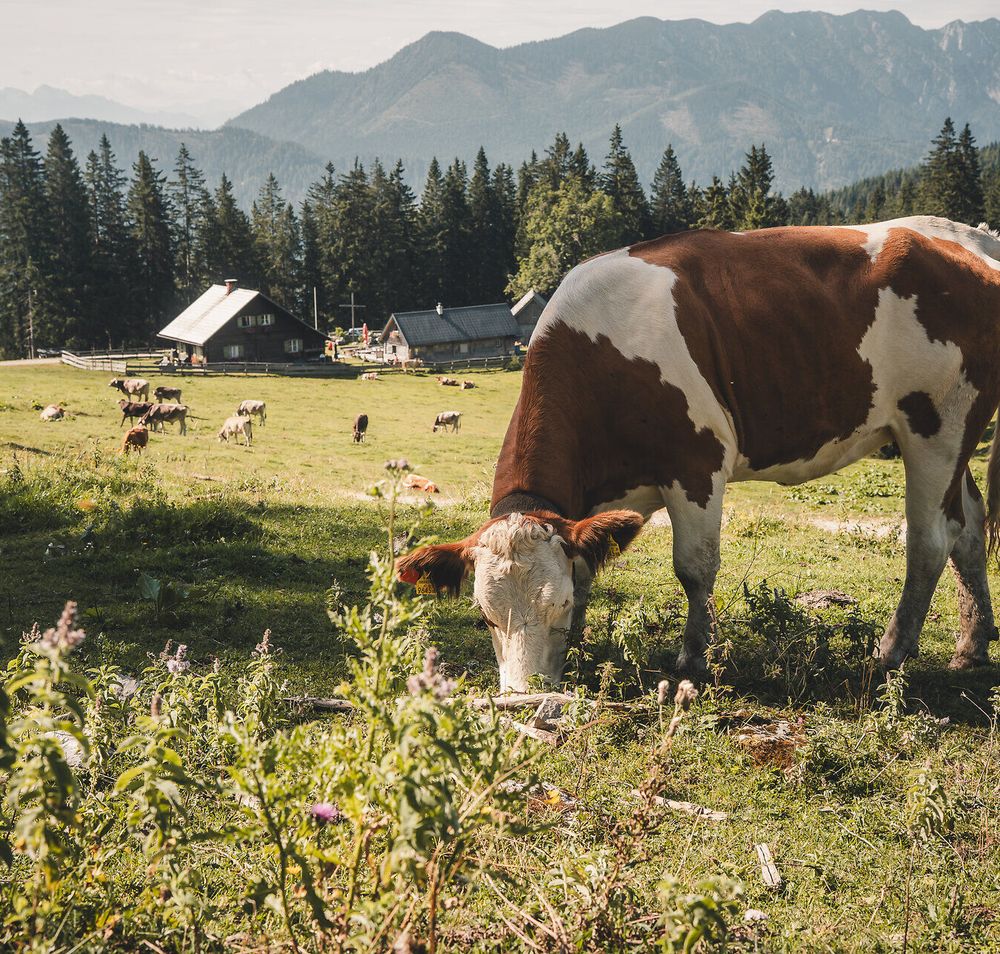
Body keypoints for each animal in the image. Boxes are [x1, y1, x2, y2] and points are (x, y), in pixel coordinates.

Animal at [397, 217, 1000, 693]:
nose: (523, 696)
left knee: (931, 539)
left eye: (558, 606)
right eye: (484, 617)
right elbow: (589, 561)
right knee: (970, 527)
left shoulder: (697, 462)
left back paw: (891, 651)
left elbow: (694, 567)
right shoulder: (610, 498)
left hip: (936, 426)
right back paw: (971, 647)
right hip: (953, 436)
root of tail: (968, 238)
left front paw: (694, 659)